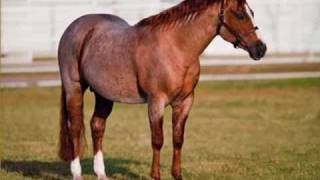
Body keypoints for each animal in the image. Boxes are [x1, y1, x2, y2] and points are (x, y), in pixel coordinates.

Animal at [58, 0, 268, 179]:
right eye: (240, 14)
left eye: (252, 12)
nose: (261, 48)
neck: (176, 47)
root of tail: (74, 27)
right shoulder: (156, 102)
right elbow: (157, 140)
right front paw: (155, 175)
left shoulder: (185, 102)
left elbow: (178, 139)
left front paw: (177, 175)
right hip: (74, 89)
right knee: (75, 128)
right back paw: (76, 173)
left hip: (103, 94)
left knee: (97, 126)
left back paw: (101, 173)